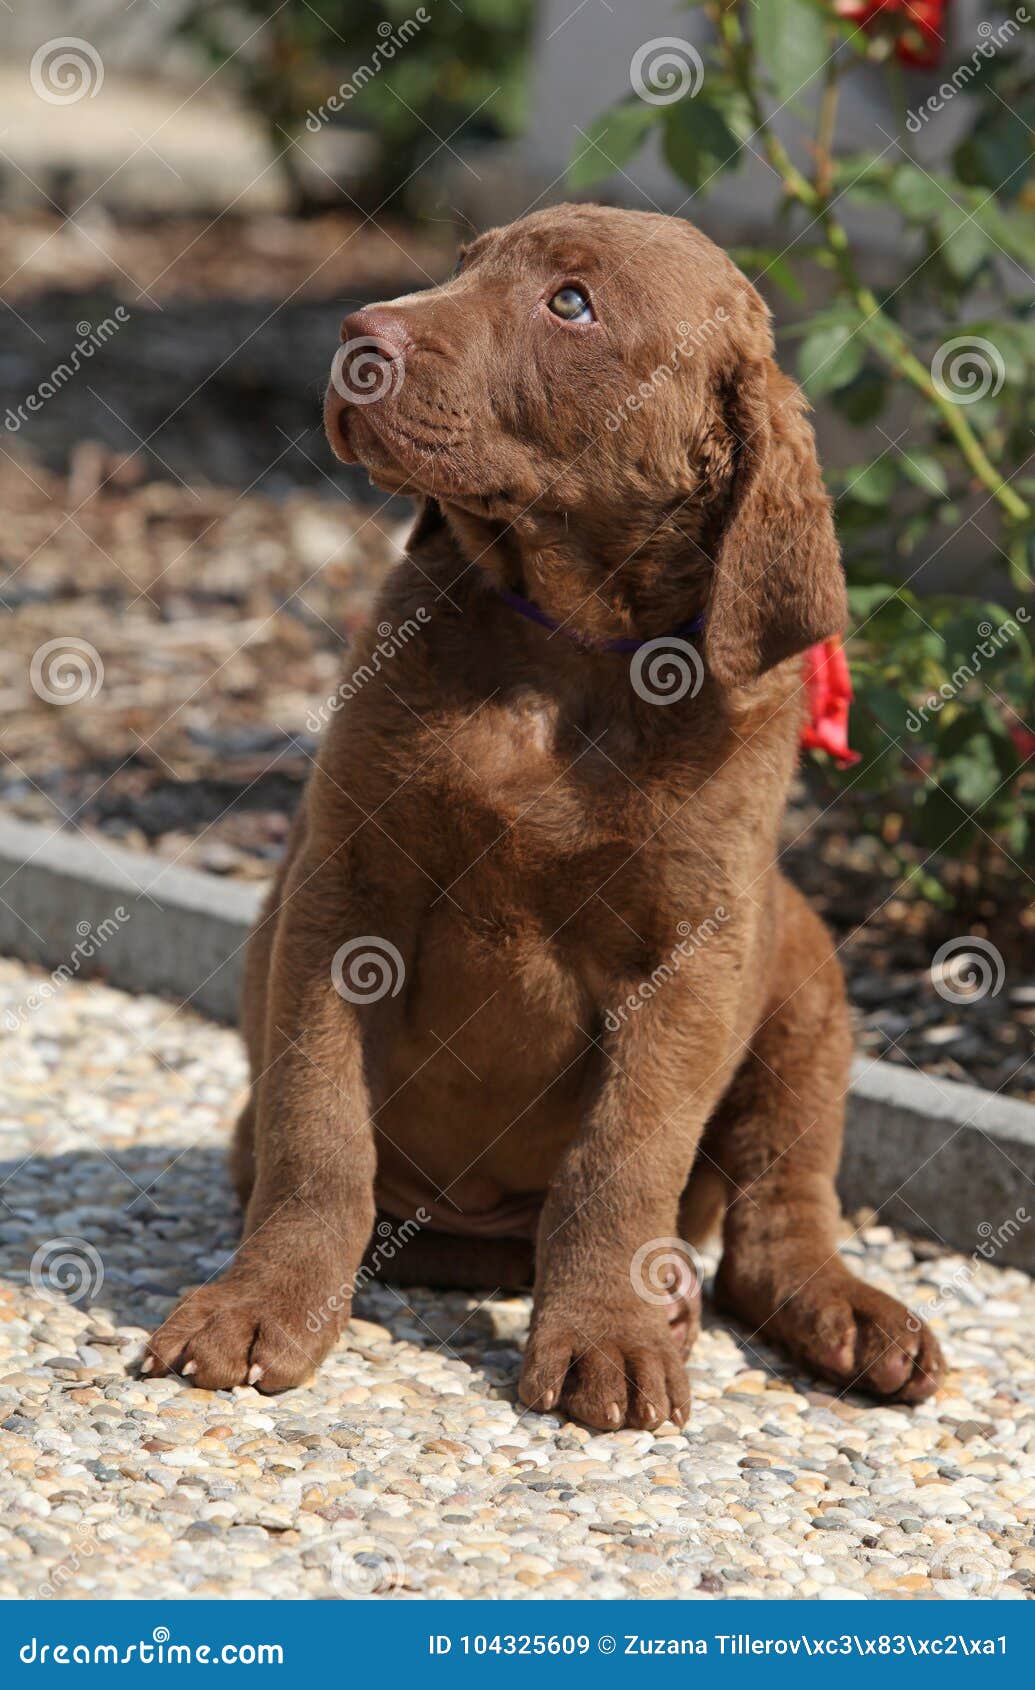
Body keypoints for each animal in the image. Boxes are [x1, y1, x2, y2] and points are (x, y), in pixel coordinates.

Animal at [147, 207, 947, 1426]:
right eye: (466, 265)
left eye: (572, 303)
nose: (357, 337)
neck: (564, 654)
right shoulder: (343, 894)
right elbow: (318, 1132)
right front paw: (262, 1304)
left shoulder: (694, 949)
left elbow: (620, 1156)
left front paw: (607, 1333)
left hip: (805, 976)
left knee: (778, 1209)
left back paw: (839, 1315)